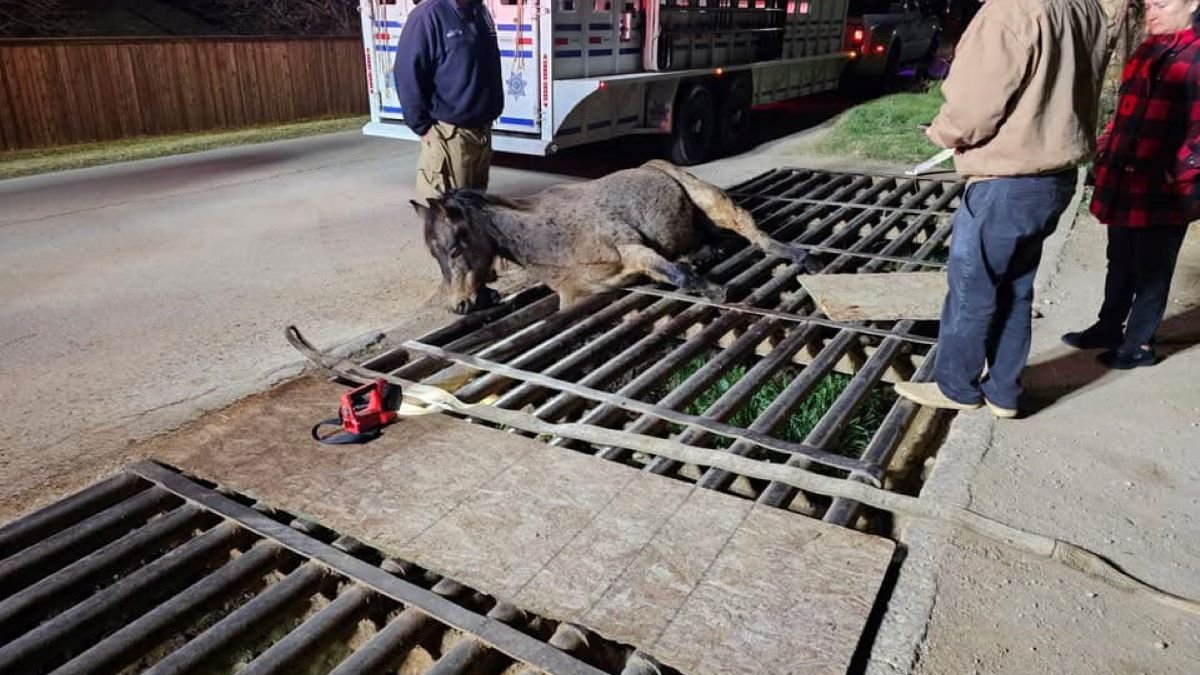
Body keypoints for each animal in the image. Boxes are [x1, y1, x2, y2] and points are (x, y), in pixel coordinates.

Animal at [412, 159, 816, 312]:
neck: (551, 240)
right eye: (433, 254)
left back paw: (800, 255)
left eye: (454, 247)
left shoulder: (631, 247)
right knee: (715, 242)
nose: (459, 306)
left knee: (749, 229)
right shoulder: (575, 297)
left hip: (711, 200)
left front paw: (716, 291)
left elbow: (678, 276)